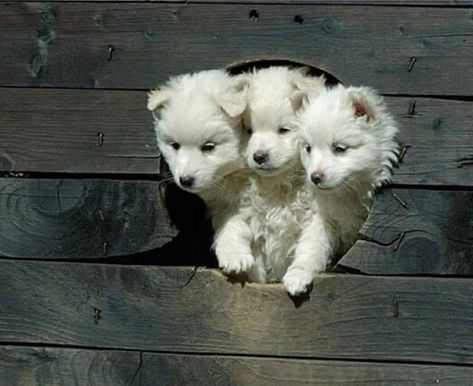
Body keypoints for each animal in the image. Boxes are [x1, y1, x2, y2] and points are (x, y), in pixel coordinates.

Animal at [147, 71, 251, 272]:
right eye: (175, 145)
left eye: (209, 147)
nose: (185, 180)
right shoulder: (220, 203)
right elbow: (229, 224)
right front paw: (234, 256)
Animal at [290, 84, 400, 294]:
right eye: (308, 148)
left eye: (339, 148)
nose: (315, 177)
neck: (348, 191)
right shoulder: (325, 217)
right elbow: (313, 242)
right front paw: (298, 273)